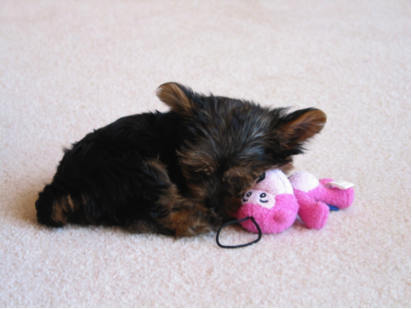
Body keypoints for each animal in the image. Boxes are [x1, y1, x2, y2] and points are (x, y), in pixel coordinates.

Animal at [34, 82, 326, 236]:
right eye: (198, 172)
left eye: (242, 180)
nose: (214, 204)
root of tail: (61, 187)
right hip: (136, 168)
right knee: (151, 215)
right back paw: (201, 219)